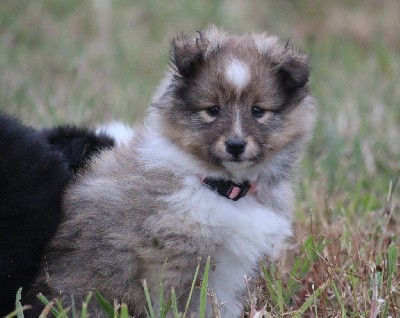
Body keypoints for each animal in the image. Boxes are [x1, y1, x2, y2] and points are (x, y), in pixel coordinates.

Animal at [32, 26, 316, 316]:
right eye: (213, 110)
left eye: (257, 110)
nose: (235, 145)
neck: (220, 186)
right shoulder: (173, 258)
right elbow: (180, 303)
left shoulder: (234, 270)